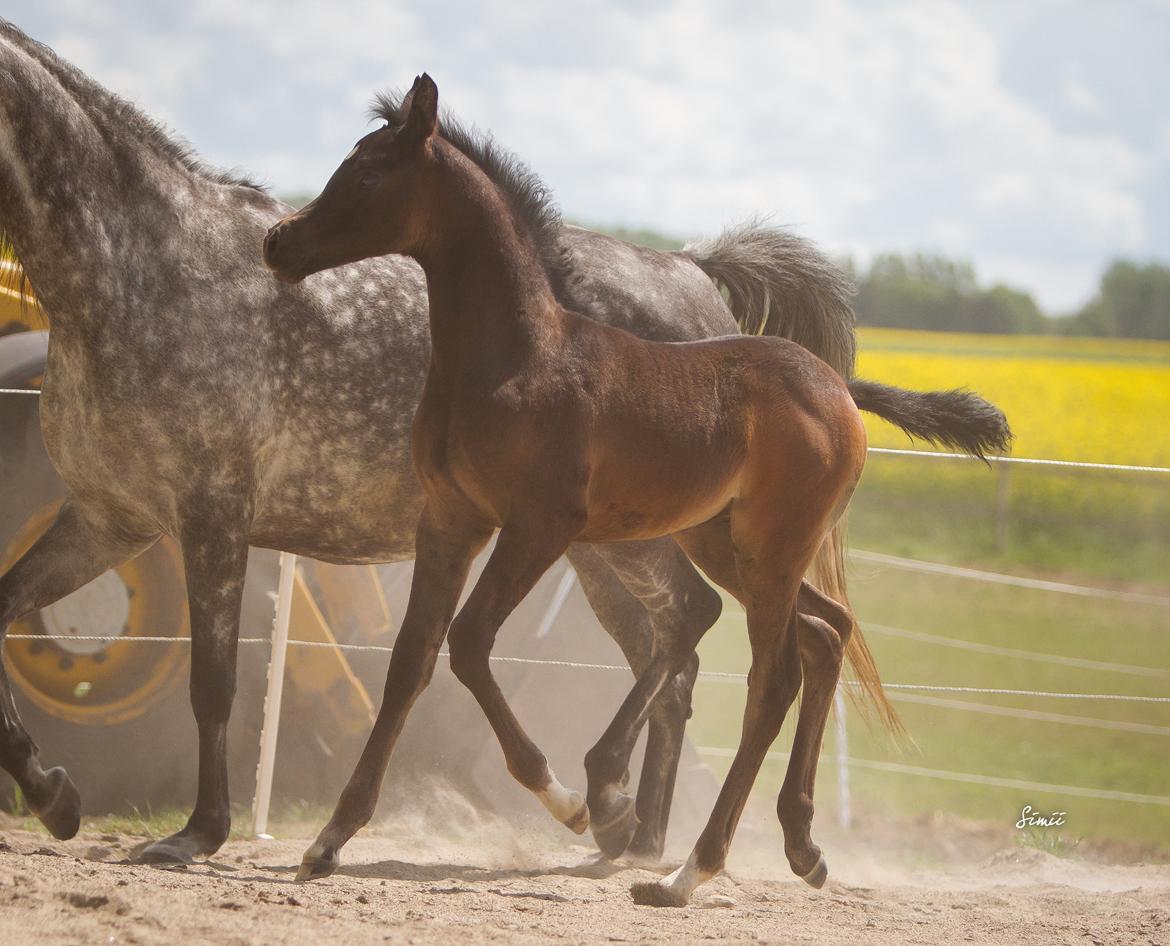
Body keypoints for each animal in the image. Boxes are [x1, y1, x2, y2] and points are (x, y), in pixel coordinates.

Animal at [0, 20, 861, 865]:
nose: (281, 245)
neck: (141, 271)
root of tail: (694, 272)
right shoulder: (111, 518)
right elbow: (7, 609)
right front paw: (54, 796)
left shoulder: (210, 514)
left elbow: (213, 682)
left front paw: (199, 831)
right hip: (613, 550)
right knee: (680, 653)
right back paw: (634, 833)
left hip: (641, 544)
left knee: (686, 634)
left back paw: (630, 821)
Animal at [263, 73, 1006, 902]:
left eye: (366, 174)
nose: (278, 242)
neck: (516, 356)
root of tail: (837, 389)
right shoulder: (450, 521)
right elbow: (410, 660)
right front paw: (329, 839)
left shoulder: (537, 527)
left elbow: (471, 643)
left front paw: (574, 803)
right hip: (727, 544)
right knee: (822, 634)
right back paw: (801, 846)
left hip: (767, 549)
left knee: (771, 677)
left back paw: (689, 867)